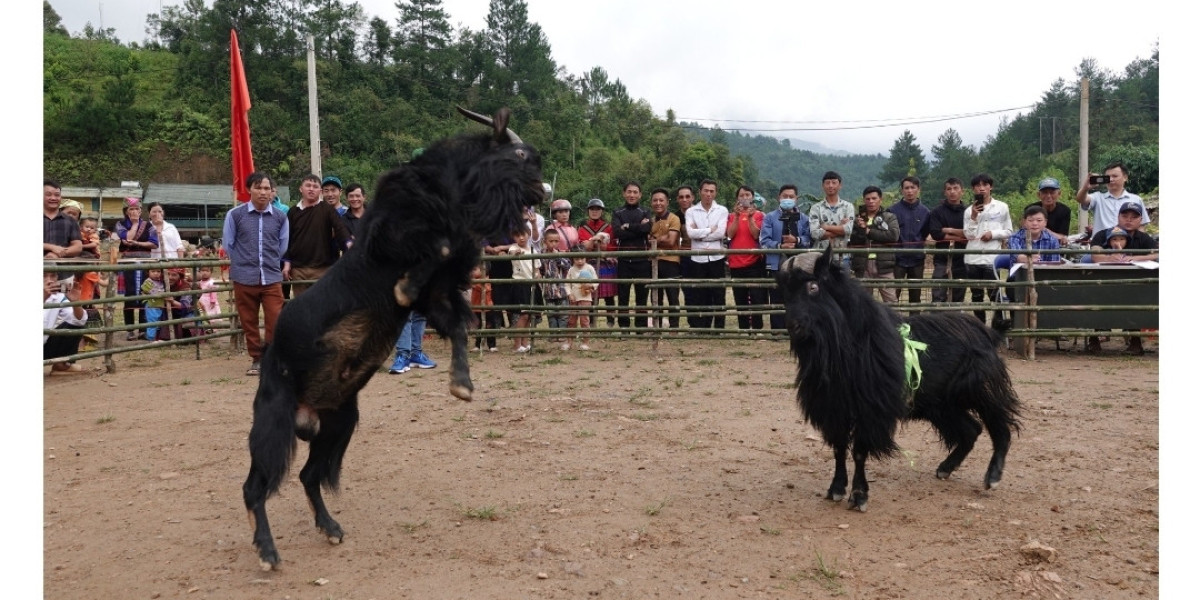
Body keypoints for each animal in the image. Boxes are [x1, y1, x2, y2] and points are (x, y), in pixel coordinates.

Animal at [243, 108, 544, 571]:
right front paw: (402, 287)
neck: (450, 190)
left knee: (309, 476)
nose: (544, 193)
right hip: (273, 419)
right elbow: (437, 248)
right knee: (255, 488)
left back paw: (330, 527)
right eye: (521, 154)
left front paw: (462, 384)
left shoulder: (439, 292)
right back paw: (268, 551)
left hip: (338, 422)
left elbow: (458, 322)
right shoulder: (397, 238)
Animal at [772, 247, 1017, 511]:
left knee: (1001, 429)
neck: (855, 341)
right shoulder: (835, 409)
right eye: (784, 290)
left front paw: (859, 496)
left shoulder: (870, 411)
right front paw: (836, 489)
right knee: (972, 430)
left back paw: (992, 477)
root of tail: (989, 333)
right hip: (942, 405)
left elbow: (859, 451)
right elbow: (839, 449)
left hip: (981, 389)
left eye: (813, 286)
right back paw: (945, 468)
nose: (793, 326)